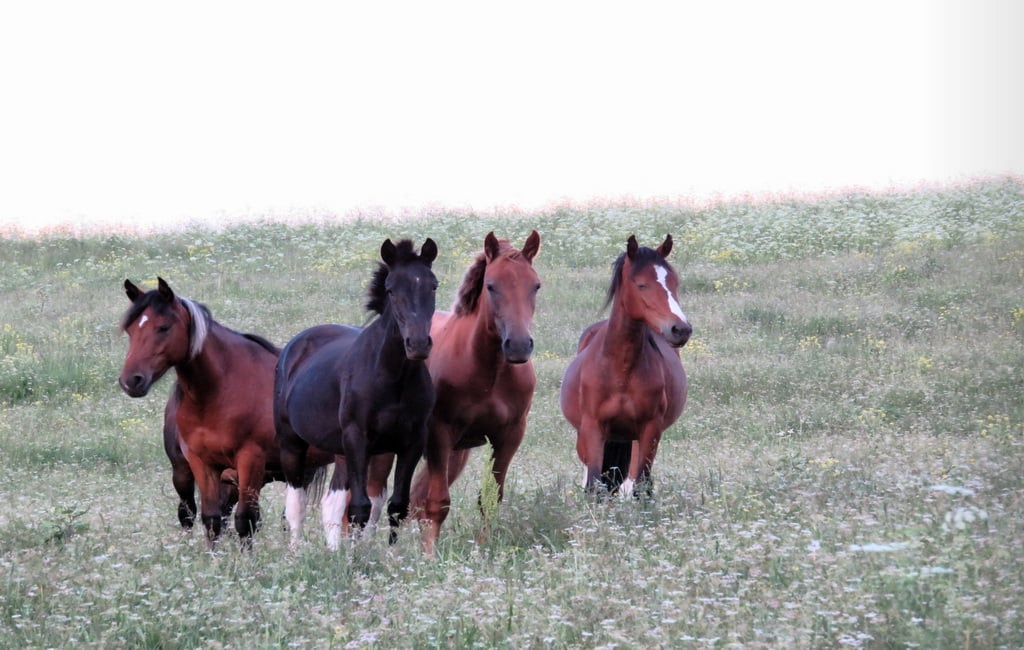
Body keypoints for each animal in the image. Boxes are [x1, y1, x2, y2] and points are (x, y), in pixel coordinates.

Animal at [274, 239, 438, 548]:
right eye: (391, 289)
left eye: (433, 286)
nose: (418, 344)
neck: (391, 377)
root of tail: (294, 347)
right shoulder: (356, 438)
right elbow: (360, 508)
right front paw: (355, 556)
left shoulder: (411, 442)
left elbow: (397, 505)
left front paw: (389, 555)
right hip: (292, 444)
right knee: (296, 504)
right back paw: (296, 553)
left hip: (339, 452)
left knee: (331, 503)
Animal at [405, 229, 544, 552]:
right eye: (491, 286)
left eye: (536, 285)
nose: (518, 346)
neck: (488, 372)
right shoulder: (439, 434)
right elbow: (437, 502)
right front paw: (429, 555)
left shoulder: (509, 435)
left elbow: (490, 499)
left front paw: (482, 549)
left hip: (456, 453)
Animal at [557, 236, 692, 495]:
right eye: (641, 285)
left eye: (674, 282)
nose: (680, 329)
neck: (621, 369)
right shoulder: (593, 429)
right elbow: (594, 485)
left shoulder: (650, 430)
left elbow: (640, 486)